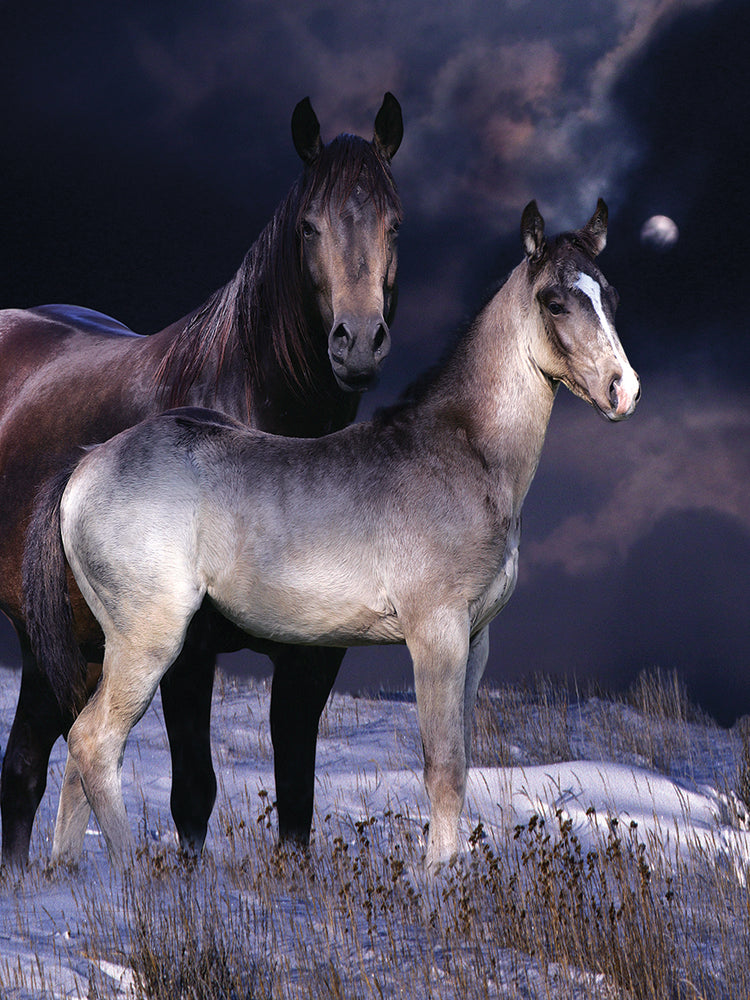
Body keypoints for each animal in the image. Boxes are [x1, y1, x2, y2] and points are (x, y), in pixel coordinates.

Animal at [0, 93, 404, 868]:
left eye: (394, 222)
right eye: (308, 226)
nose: (358, 344)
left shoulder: (313, 659)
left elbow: (297, 800)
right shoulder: (189, 654)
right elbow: (194, 792)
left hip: (62, 646)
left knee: (27, 766)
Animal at [23, 199, 639, 869]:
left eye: (609, 294)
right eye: (555, 302)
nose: (623, 390)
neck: (463, 455)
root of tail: (86, 464)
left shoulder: (476, 643)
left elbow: (463, 760)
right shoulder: (437, 635)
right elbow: (443, 768)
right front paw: (438, 879)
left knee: (77, 745)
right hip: (148, 639)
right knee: (94, 741)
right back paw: (139, 871)